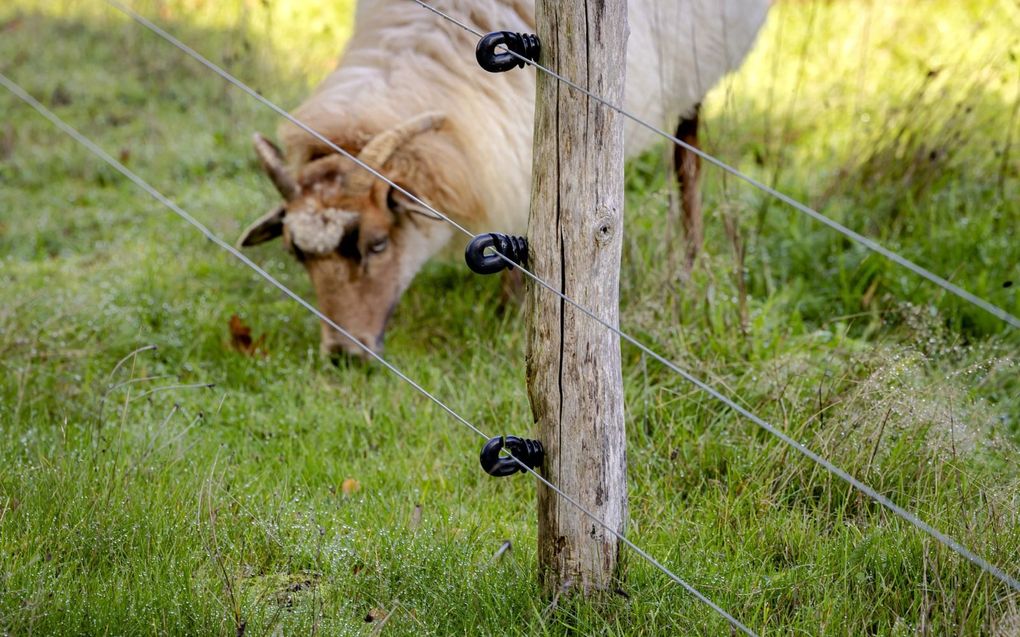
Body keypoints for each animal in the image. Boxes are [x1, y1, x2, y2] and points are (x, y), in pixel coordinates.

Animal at [236, 0, 767, 358]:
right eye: (297, 255)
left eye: (378, 244)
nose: (344, 354)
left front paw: (512, 313)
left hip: (696, 64)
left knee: (687, 153)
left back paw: (690, 259)